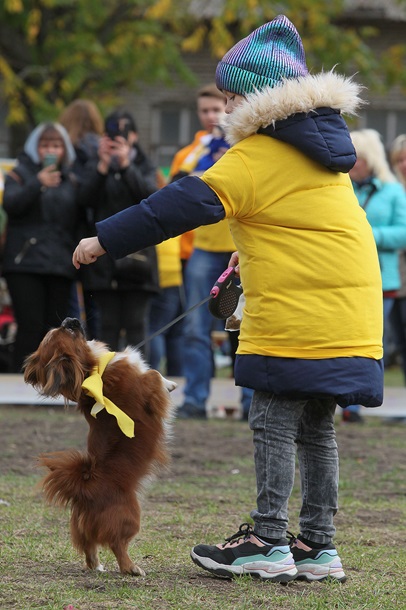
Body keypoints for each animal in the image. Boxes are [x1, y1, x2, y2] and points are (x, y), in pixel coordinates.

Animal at [23, 318, 176, 576]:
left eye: (62, 329)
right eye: (70, 332)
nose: (70, 320)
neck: (92, 371)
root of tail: (85, 486)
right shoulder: (147, 389)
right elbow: (154, 374)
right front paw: (170, 384)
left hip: (81, 523)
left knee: (88, 544)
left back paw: (96, 565)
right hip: (130, 517)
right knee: (117, 544)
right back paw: (132, 568)